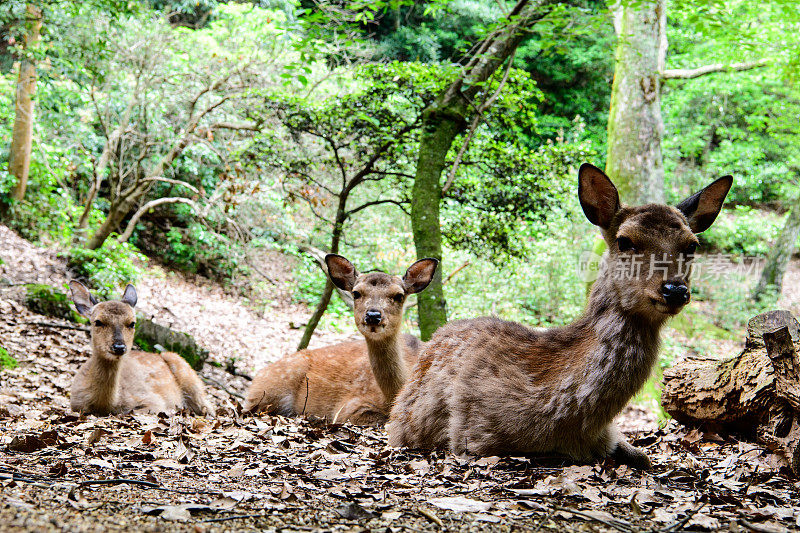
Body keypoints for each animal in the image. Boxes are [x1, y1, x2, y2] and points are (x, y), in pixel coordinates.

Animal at [244, 256, 438, 426]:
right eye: (356, 293)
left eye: (399, 295)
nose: (373, 315)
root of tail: (256, 377)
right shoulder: (348, 407)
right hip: (272, 386)